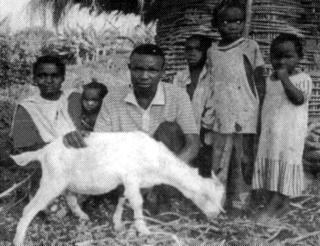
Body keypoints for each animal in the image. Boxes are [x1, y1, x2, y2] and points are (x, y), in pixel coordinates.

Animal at [10, 132, 225, 246]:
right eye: (208, 197)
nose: (216, 215)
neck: (157, 161)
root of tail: (44, 151)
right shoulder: (131, 176)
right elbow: (137, 202)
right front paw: (143, 229)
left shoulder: (129, 182)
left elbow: (124, 199)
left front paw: (118, 223)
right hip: (52, 180)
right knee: (29, 209)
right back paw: (18, 240)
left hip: (66, 180)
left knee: (70, 197)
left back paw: (82, 216)